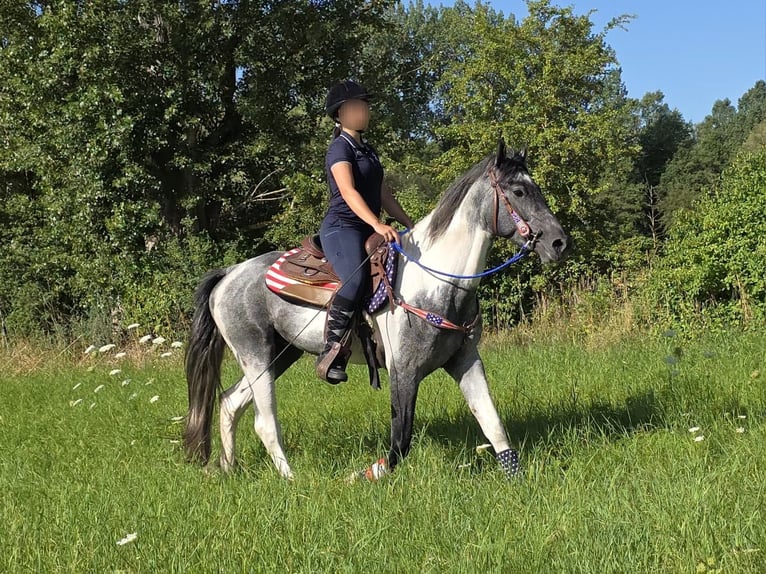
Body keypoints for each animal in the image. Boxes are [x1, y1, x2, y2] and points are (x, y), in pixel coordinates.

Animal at [184, 138, 570, 480]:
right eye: (518, 191)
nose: (559, 242)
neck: (436, 280)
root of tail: (229, 274)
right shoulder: (404, 371)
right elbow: (401, 440)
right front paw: (365, 475)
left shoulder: (465, 361)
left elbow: (493, 424)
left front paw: (517, 480)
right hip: (257, 355)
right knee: (264, 422)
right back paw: (292, 479)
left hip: (280, 356)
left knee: (230, 403)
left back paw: (228, 469)